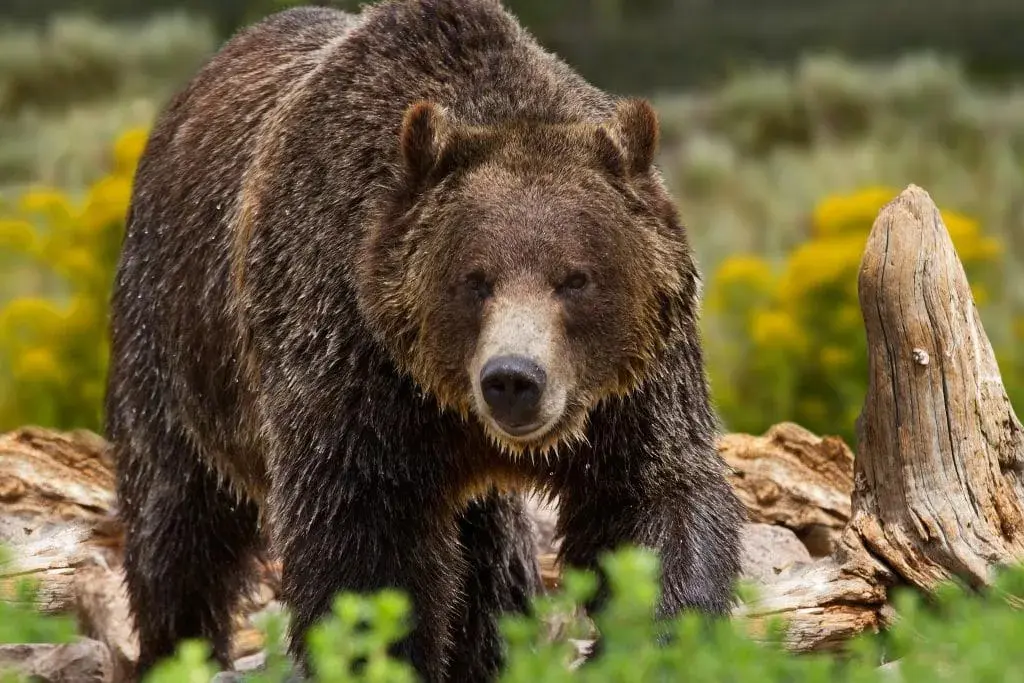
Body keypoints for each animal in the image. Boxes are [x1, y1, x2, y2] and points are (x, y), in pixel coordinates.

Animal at [104, 1, 745, 681]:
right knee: (176, 524)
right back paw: (178, 648)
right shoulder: (350, 362)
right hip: (175, 343)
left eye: (576, 278)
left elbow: (650, 504)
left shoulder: (633, 389)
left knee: (489, 561)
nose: (513, 379)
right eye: (475, 279)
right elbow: (363, 551)